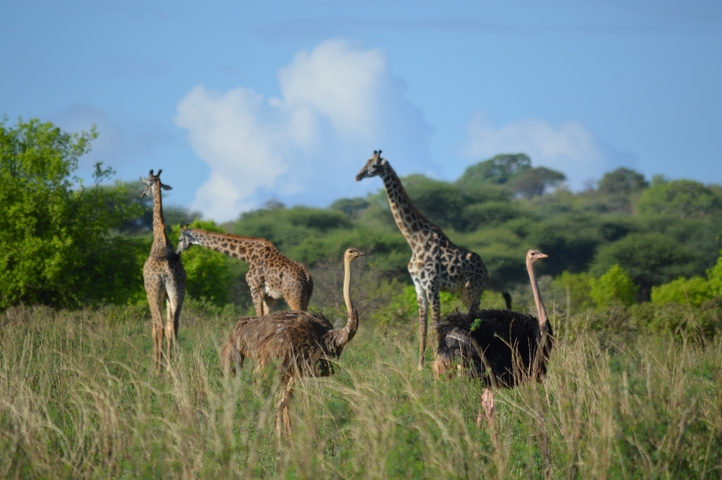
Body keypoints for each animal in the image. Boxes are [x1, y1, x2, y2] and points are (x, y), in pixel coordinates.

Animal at [176, 227, 313, 315]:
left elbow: (259, 315)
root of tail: (307, 277)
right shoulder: (269, 296)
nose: (177, 252)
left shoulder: (254, 288)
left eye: (180, 239)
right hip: (306, 297)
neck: (247, 255)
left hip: (293, 297)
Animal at [356, 150, 511, 370]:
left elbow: (436, 325)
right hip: (468, 293)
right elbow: (422, 328)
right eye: (366, 162)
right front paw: (420, 366)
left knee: (473, 322)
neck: (414, 240)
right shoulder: (419, 286)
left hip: (471, 292)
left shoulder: (431, 284)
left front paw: (440, 360)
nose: (357, 176)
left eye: (374, 165)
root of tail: (486, 272)